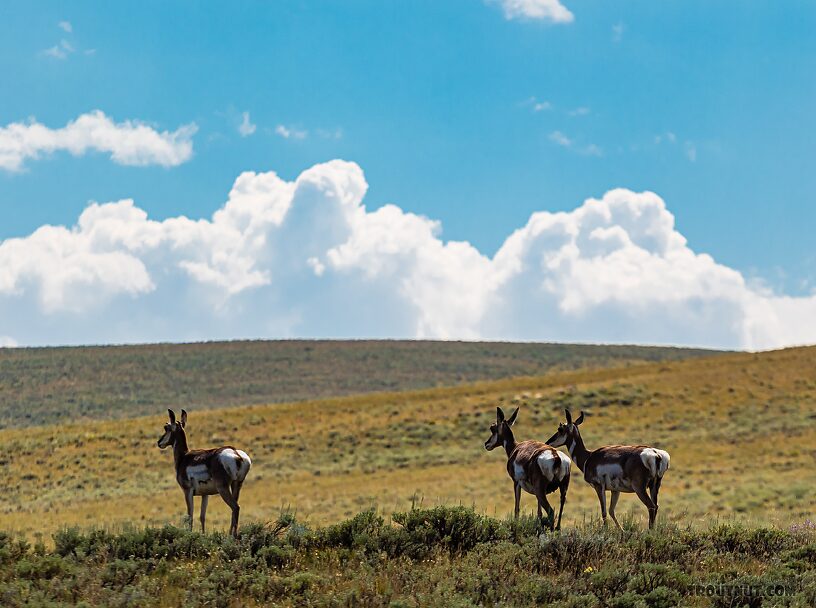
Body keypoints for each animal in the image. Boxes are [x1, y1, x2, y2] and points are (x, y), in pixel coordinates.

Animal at [157, 408, 252, 536]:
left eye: (166, 427)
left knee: (236, 507)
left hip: (223, 489)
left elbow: (190, 516)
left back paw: (231, 536)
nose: (159, 442)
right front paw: (202, 534)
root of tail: (236, 454)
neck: (184, 457)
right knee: (234, 509)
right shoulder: (205, 495)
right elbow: (202, 516)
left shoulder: (187, 491)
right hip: (236, 485)